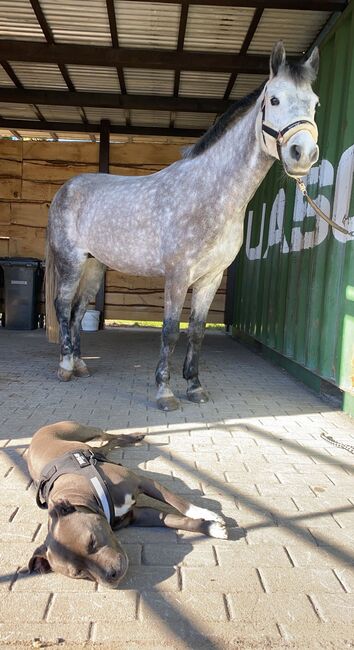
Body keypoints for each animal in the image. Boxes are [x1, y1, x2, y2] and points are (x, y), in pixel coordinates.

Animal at [26, 420, 228, 588]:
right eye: (79, 573)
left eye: (92, 541)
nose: (111, 575)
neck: (84, 493)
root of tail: (36, 434)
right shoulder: (139, 515)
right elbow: (176, 520)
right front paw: (212, 528)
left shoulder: (143, 481)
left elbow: (179, 503)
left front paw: (208, 514)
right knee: (107, 445)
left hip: (83, 430)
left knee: (108, 435)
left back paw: (134, 436)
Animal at [45, 43, 320, 410]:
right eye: (274, 99)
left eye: (315, 104)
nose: (303, 153)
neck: (209, 193)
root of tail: (66, 189)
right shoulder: (177, 276)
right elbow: (170, 331)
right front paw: (165, 392)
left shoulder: (211, 278)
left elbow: (197, 331)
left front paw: (195, 386)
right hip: (71, 261)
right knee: (63, 306)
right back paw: (64, 367)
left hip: (94, 266)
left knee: (78, 311)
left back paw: (80, 365)